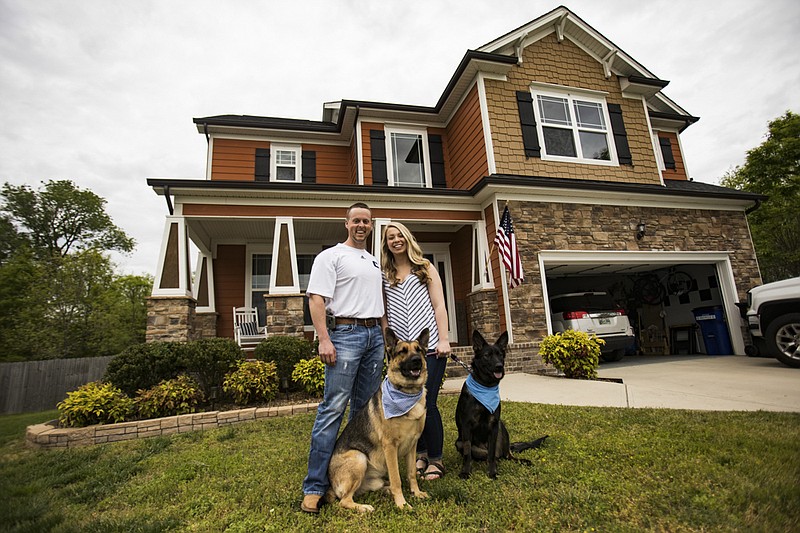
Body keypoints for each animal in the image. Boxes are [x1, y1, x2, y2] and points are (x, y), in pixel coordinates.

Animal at [324, 326, 428, 510]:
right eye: (402, 351)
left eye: (419, 351)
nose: (416, 360)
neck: (406, 394)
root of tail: (331, 485)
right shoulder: (390, 446)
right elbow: (396, 479)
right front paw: (402, 504)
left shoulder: (412, 444)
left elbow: (411, 473)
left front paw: (416, 493)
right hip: (359, 458)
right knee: (344, 500)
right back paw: (364, 507)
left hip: (373, 477)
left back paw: (386, 491)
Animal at [456, 328, 552, 478]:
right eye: (486, 356)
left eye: (500, 355)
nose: (499, 367)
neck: (485, 386)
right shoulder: (467, 425)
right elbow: (467, 454)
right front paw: (466, 472)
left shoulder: (494, 424)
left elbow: (491, 454)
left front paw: (492, 473)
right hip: (459, 442)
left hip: (501, 427)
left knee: (504, 455)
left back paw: (520, 460)